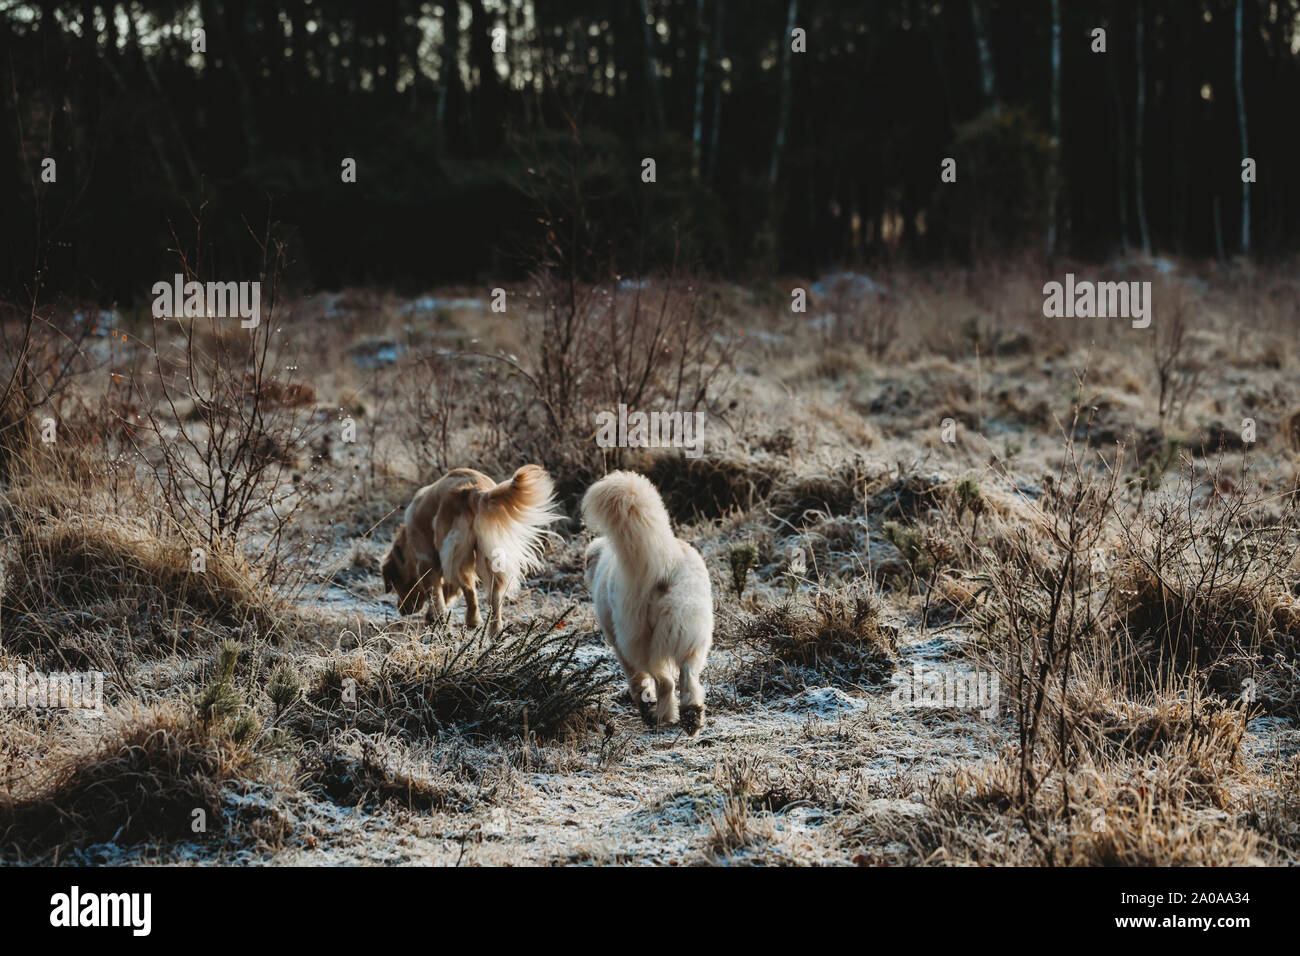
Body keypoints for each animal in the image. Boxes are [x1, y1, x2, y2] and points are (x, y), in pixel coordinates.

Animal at [379, 465, 556, 634]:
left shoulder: (426, 562)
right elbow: (447, 590)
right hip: (489, 554)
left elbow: (435, 594)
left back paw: (472, 620)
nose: (401, 610)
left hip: (458, 552)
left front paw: (436, 617)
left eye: (394, 583)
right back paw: (494, 629)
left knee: (469, 588)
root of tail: (476, 491)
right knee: (493, 593)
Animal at [585, 470, 717, 733]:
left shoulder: (619, 643)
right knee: (687, 675)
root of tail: (667, 559)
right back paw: (691, 715)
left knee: (664, 681)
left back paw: (656, 715)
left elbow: (636, 679)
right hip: (692, 629)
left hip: (640, 637)